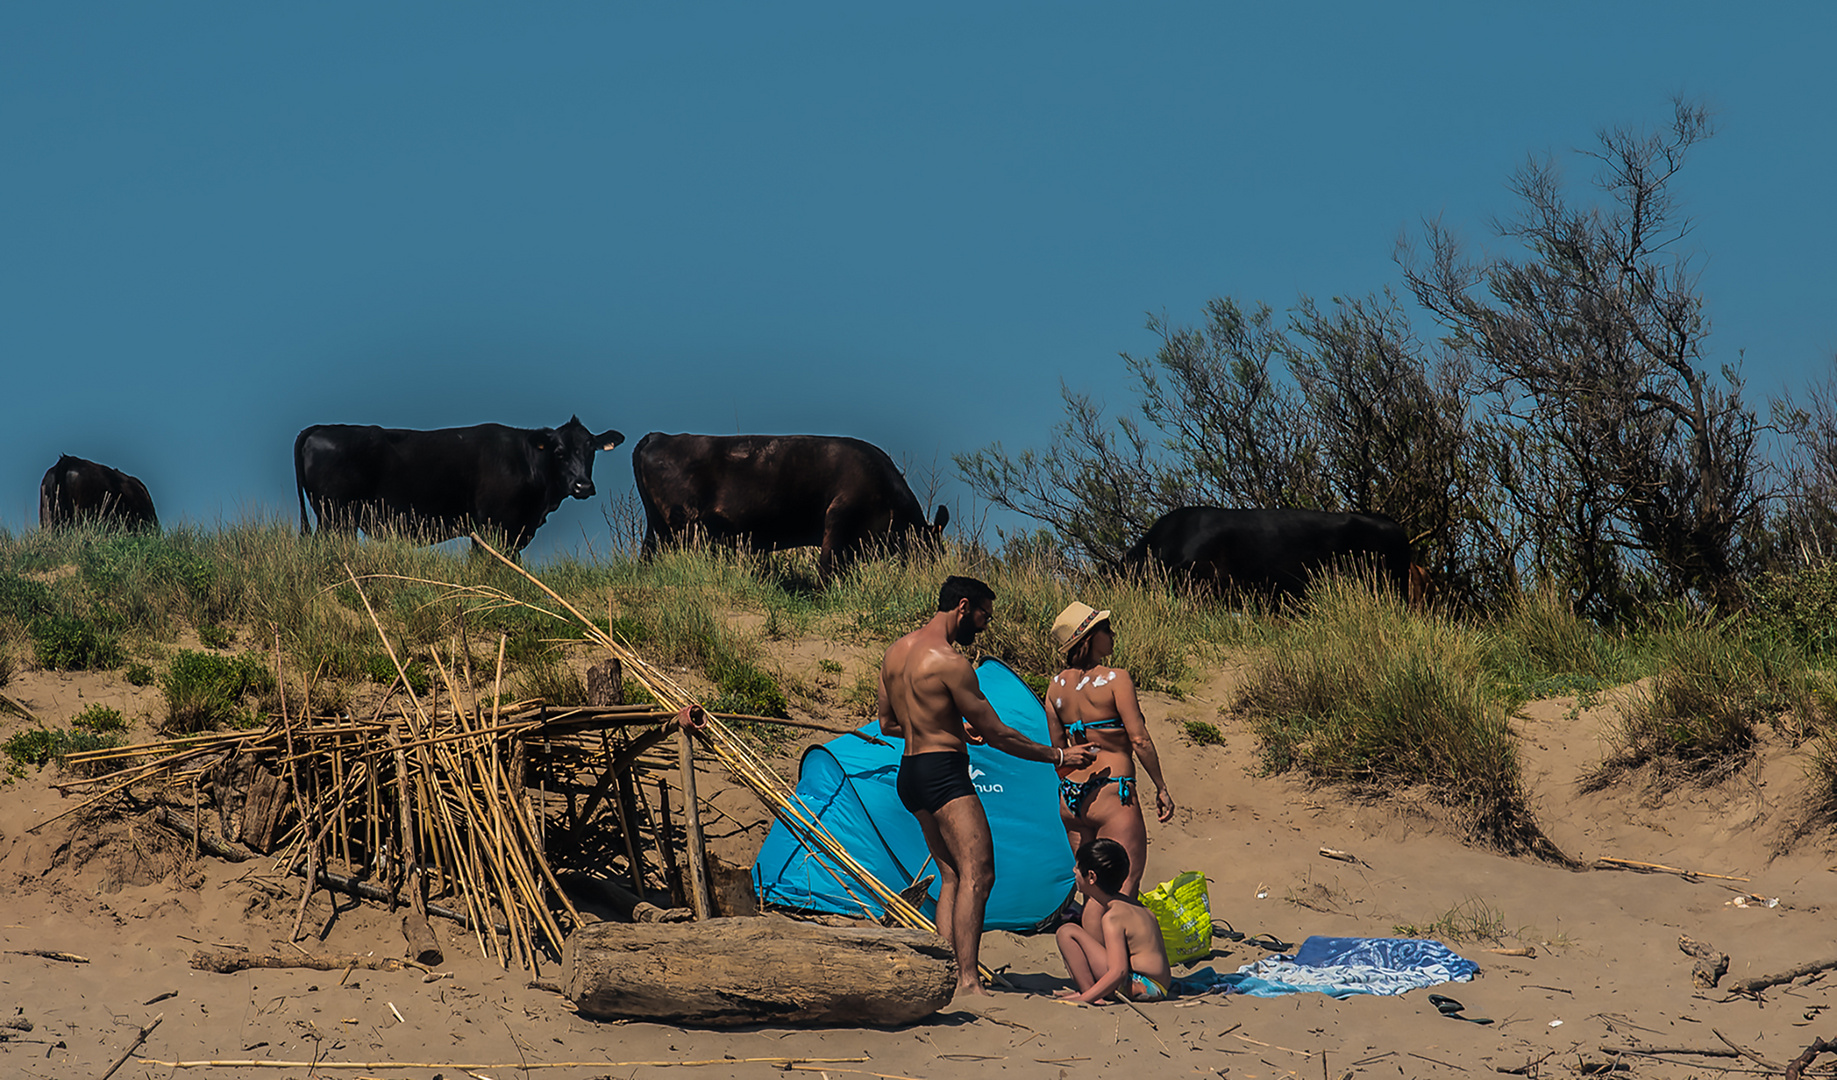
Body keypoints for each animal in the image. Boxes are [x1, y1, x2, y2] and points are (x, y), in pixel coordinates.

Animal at [293, 413, 620, 547]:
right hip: (335, 517)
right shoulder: (495, 524)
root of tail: (322, 428)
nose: (583, 486)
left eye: (591, 450)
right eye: (559, 452)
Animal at [628, 431, 947, 580]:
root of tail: (658, 436)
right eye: (932, 551)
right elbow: (828, 566)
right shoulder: (839, 518)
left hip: (657, 528)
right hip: (682, 525)